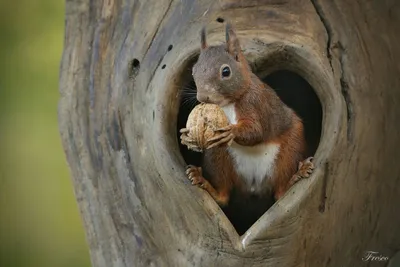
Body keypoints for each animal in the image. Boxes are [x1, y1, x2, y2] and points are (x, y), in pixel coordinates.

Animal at [180, 23, 314, 207]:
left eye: (226, 71)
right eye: (194, 71)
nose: (203, 97)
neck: (227, 104)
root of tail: (254, 186)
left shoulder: (255, 103)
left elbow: (256, 131)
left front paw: (232, 131)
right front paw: (186, 135)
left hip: (291, 149)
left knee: (280, 192)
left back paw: (297, 176)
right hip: (217, 156)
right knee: (223, 196)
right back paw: (202, 181)